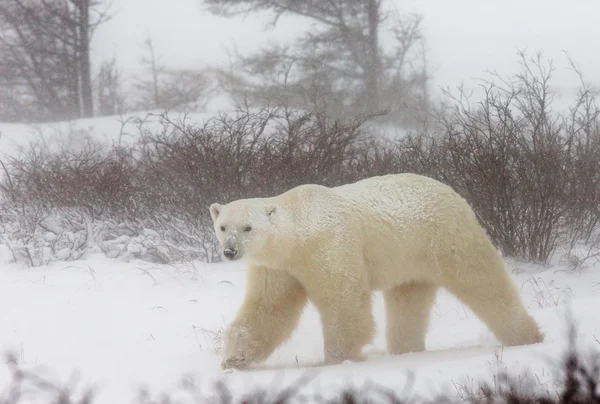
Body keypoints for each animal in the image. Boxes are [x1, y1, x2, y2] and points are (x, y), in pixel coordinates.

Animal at [211, 173, 544, 370]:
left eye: (247, 227)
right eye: (223, 226)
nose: (230, 251)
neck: (301, 227)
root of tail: (452, 191)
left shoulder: (330, 245)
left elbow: (343, 301)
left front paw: (338, 358)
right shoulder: (278, 266)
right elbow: (268, 307)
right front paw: (233, 358)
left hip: (446, 237)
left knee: (482, 280)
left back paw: (528, 336)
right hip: (411, 259)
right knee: (408, 302)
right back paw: (406, 350)